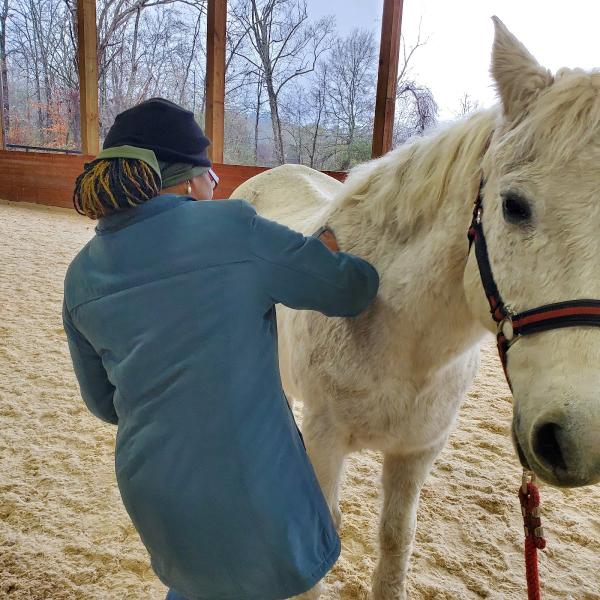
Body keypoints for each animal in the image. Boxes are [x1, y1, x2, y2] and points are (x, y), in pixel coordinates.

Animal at [232, 16, 600, 596]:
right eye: (513, 205)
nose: (577, 439)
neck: (397, 332)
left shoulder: (416, 452)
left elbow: (395, 541)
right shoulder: (326, 440)